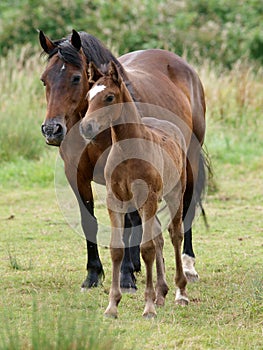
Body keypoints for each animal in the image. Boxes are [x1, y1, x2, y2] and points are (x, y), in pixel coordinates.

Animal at [39, 29, 208, 292]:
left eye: (76, 78)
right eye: (44, 80)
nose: (52, 130)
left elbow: (129, 220)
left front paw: (126, 276)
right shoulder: (77, 175)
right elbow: (90, 221)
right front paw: (93, 274)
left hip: (188, 162)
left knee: (185, 205)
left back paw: (187, 264)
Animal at [80, 61, 190, 318]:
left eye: (109, 97)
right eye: (88, 97)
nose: (86, 127)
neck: (129, 152)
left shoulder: (147, 198)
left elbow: (146, 248)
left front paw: (148, 307)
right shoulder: (116, 201)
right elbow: (117, 249)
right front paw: (112, 306)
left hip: (174, 195)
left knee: (175, 234)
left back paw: (180, 292)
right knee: (159, 235)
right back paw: (162, 292)